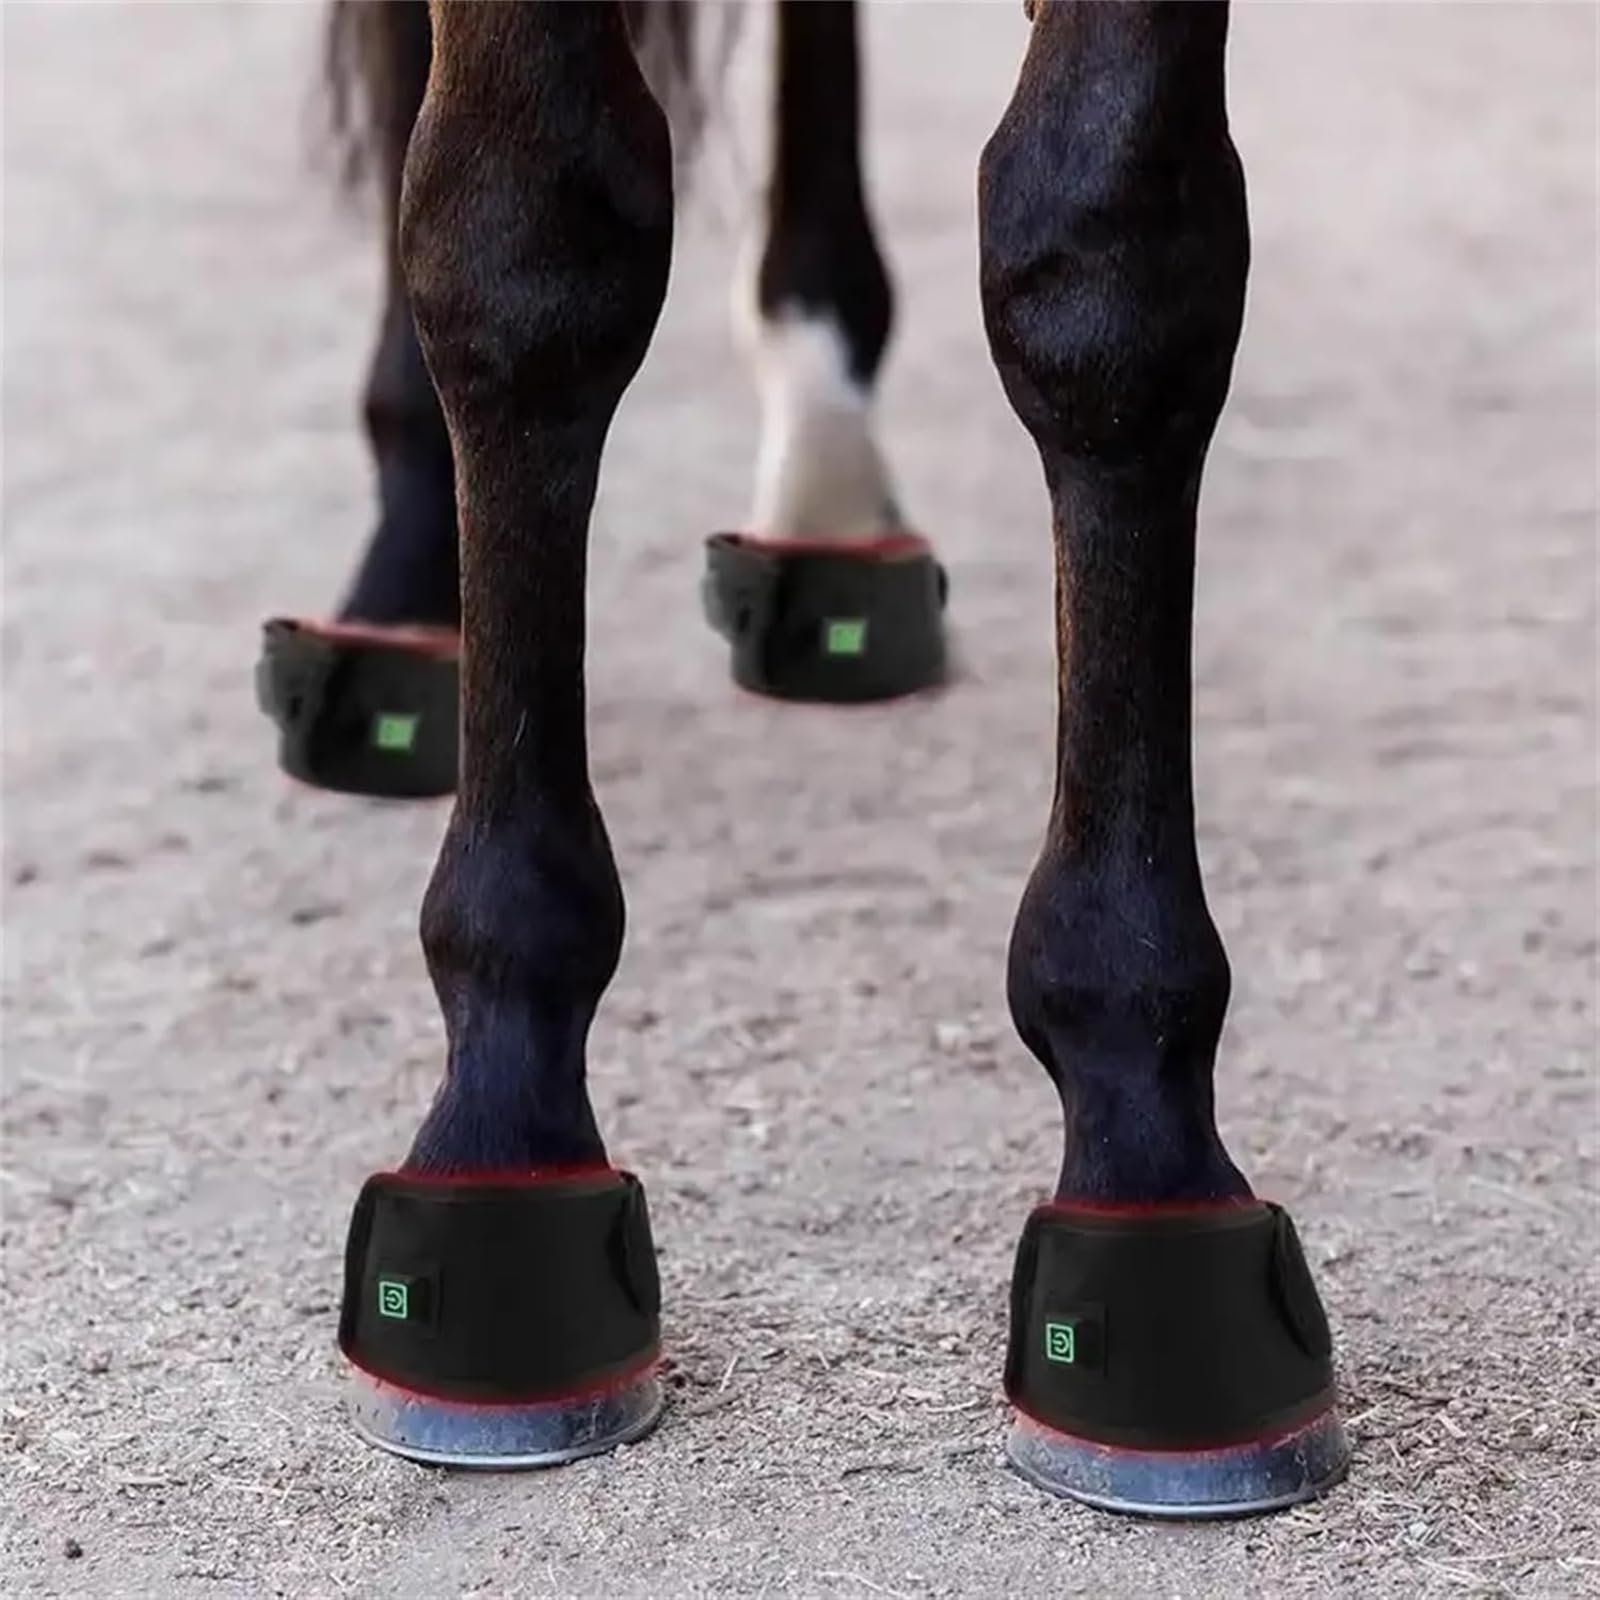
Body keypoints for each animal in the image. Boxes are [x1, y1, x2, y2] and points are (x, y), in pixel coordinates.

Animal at [277, 0, 1349, 1519]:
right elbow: (522, 238)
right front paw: (502, 1116)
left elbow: (1114, 261)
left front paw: (1144, 1137)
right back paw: (403, 588)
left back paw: (831, 495)